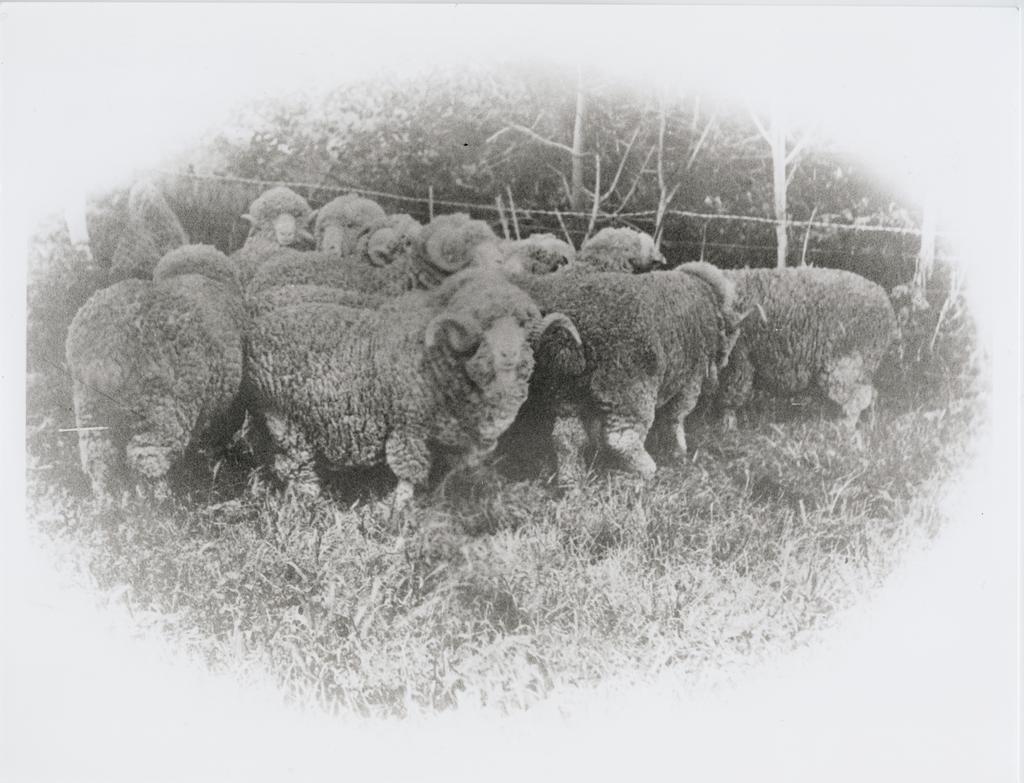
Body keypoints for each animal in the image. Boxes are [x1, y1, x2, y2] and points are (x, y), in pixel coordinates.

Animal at [65, 244, 247, 497]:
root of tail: (106, 349)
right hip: (161, 410)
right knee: (147, 460)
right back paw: (162, 501)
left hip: (91, 412)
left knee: (100, 461)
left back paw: (110, 502)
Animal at [247, 267, 577, 516]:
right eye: (484, 328)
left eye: (522, 325)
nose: (508, 354)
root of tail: (254, 332)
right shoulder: (408, 427)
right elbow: (408, 474)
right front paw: (398, 512)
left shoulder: (456, 442)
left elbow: (451, 476)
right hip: (285, 419)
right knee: (295, 468)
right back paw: (309, 506)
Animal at [506, 262, 747, 485]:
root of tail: (572, 337)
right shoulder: (689, 382)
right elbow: (675, 418)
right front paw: (678, 451)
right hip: (628, 388)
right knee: (622, 439)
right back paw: (647, 468)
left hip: (566, 391)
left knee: (566, 436)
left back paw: (571, 480)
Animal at [714, 267, 898, 429]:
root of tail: (885, 303)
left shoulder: (739, 360)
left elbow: (730, 395)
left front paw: (726, 427)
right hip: (863, 366)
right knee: (871, 395)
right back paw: (868, 424)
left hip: (847, 362)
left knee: (857, 398)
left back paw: (843, 429)